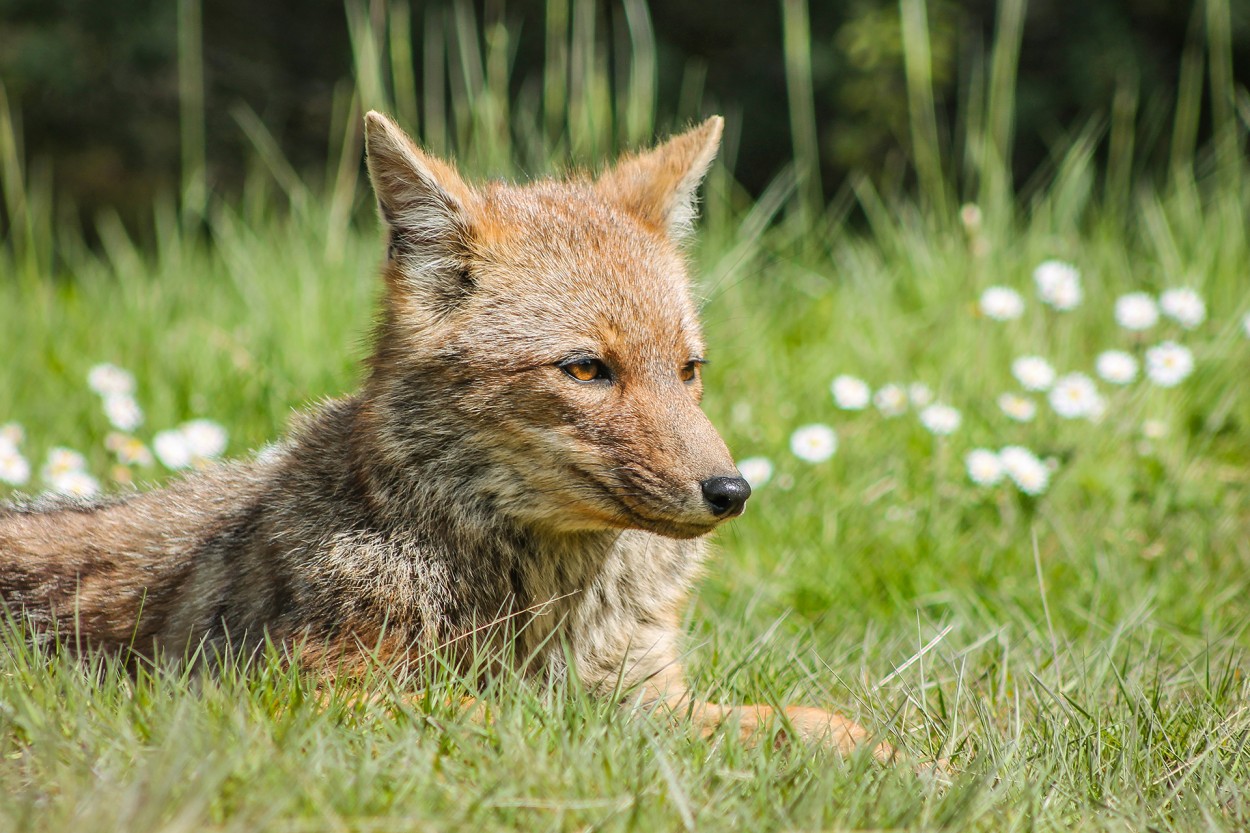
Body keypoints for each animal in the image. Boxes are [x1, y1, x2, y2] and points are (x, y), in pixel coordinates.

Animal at [4, 110, 895, 760]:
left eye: (688, 369)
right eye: (587, 369)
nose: (731, 491)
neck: (546, 607)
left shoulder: (653, 691)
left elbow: (806, 719)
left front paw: (901, 761)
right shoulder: (302, 690)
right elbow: (506, 716)